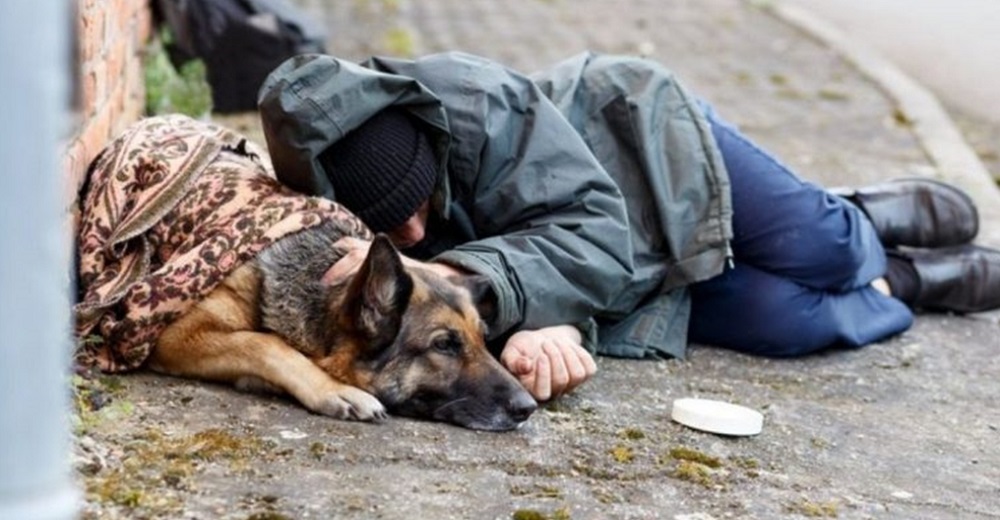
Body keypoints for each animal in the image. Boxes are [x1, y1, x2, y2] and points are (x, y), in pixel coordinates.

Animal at [146, 221, 536, 432]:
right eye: (444, 345)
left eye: (483, 340)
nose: (528, 407)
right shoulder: (174, 335)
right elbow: (263, 343)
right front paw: (334, 390)